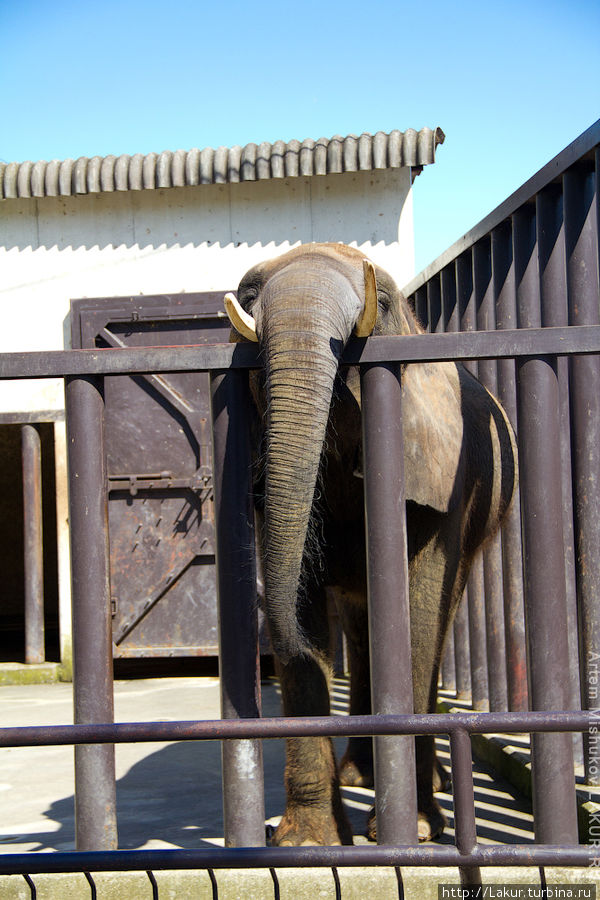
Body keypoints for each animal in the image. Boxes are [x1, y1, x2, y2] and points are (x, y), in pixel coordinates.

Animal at [223, 243, 516, 848]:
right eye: (247, 296)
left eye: (381, 301)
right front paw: (308, 843)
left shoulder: (441, 478)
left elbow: (420, 619)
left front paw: (420, 830)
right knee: (360, 632)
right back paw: (360, 773)